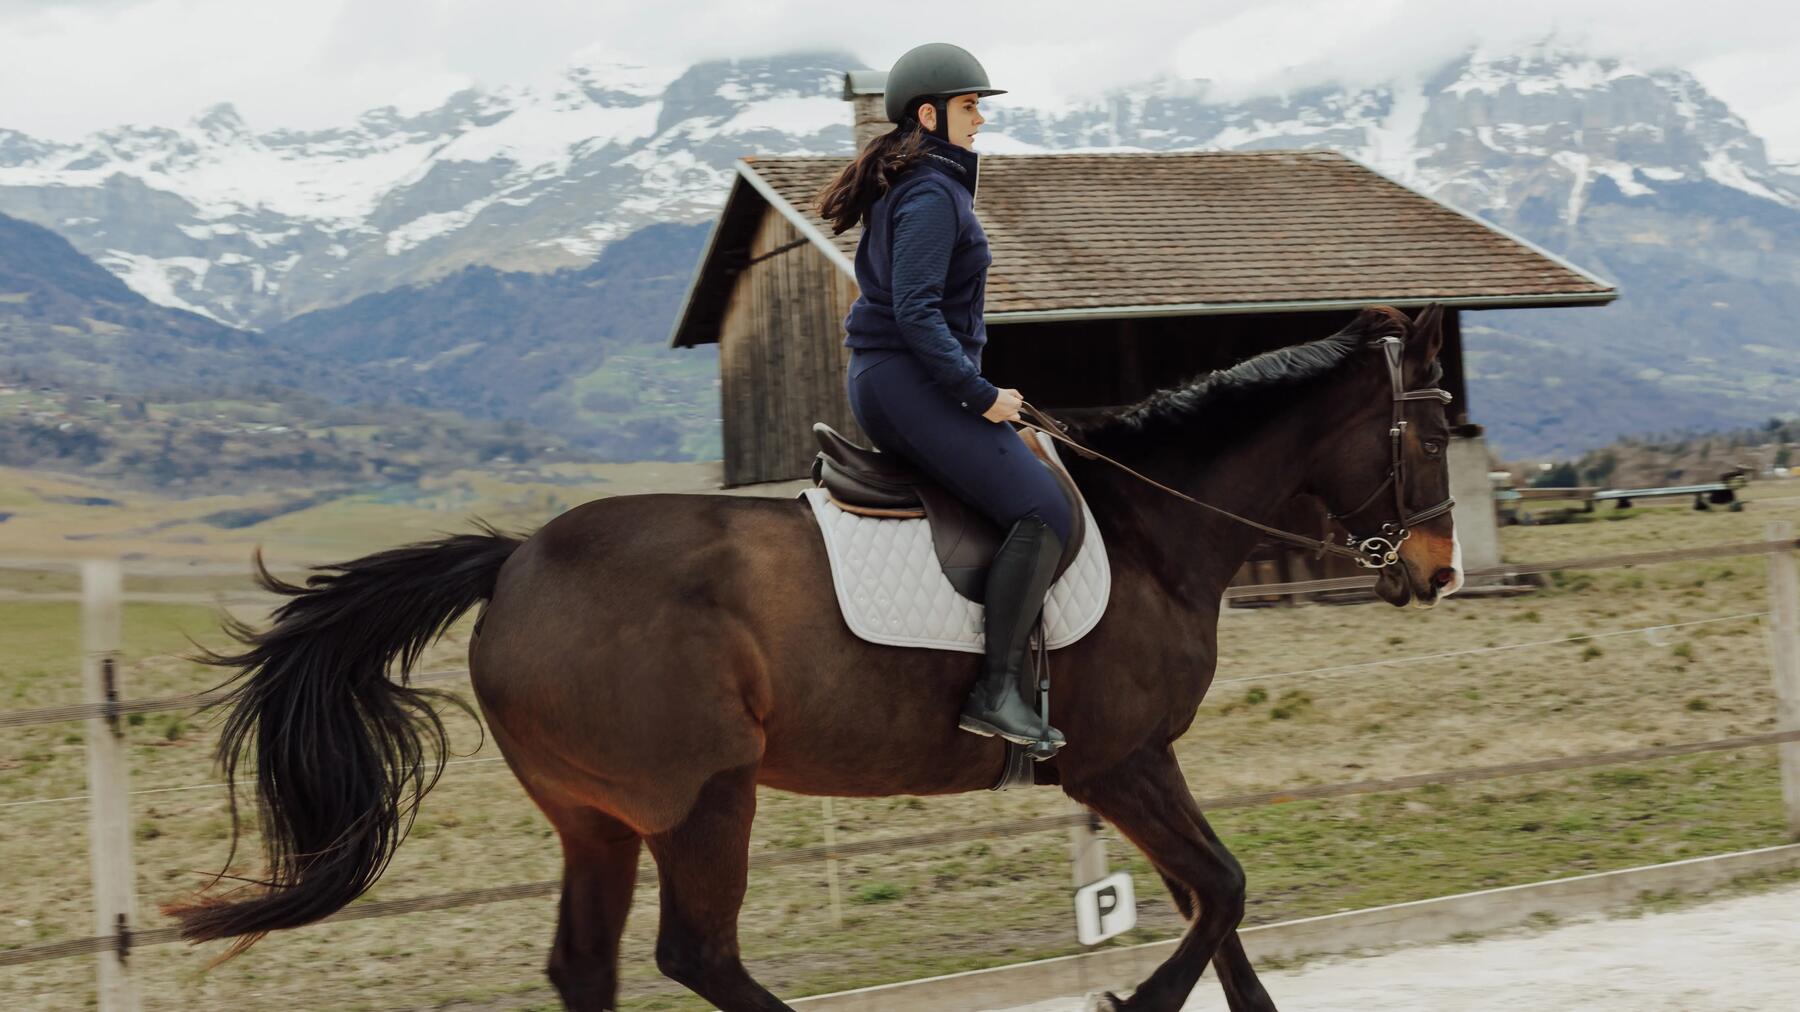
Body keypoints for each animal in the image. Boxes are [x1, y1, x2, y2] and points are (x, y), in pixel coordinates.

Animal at [168, 304, 1463, 1011]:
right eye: (1433, 428)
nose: (1440, 570)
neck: (1152, 529)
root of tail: (517, 558)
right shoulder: (1115, 761)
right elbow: (1221, 889)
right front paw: (1123, 996)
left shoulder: (1140, 761)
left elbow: (1217, 894)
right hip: (703, 798)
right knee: (697, 954)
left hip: (597, 818)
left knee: (588, 967)